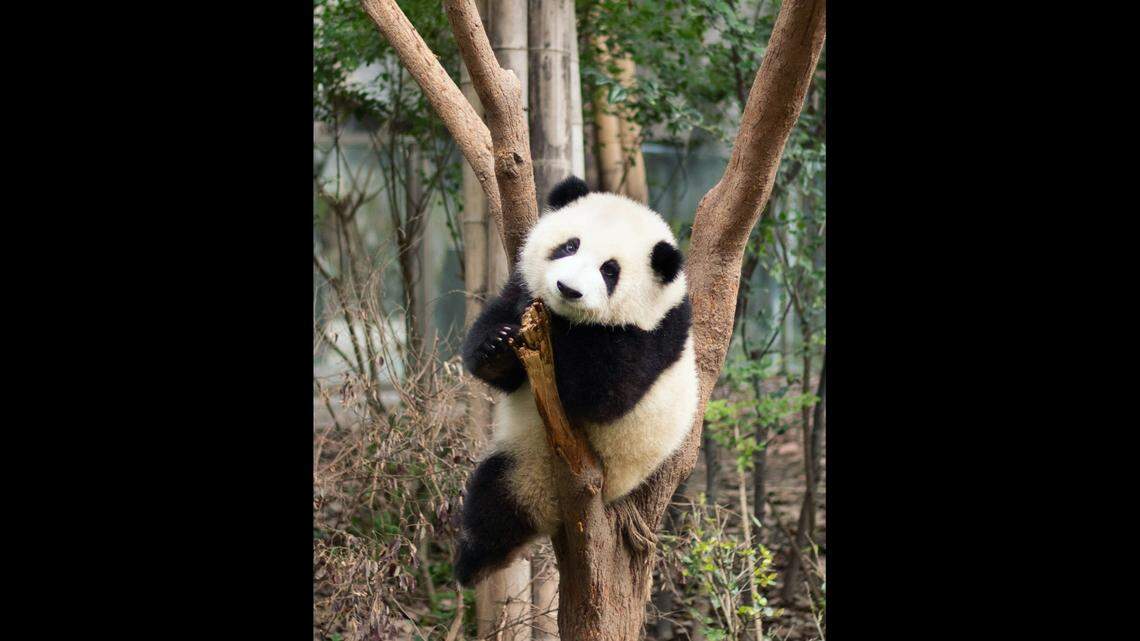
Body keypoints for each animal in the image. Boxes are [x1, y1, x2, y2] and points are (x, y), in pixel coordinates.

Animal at [454, 176, 699, 586]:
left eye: (609, 270)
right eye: (570, 245)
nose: (567, 289)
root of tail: (549, 505)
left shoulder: (650, 335)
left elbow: (604, 394)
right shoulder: (521, 287)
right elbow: (499, 349)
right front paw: (498, 344)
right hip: (519, 461)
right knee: (489, 508)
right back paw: (473, 565)